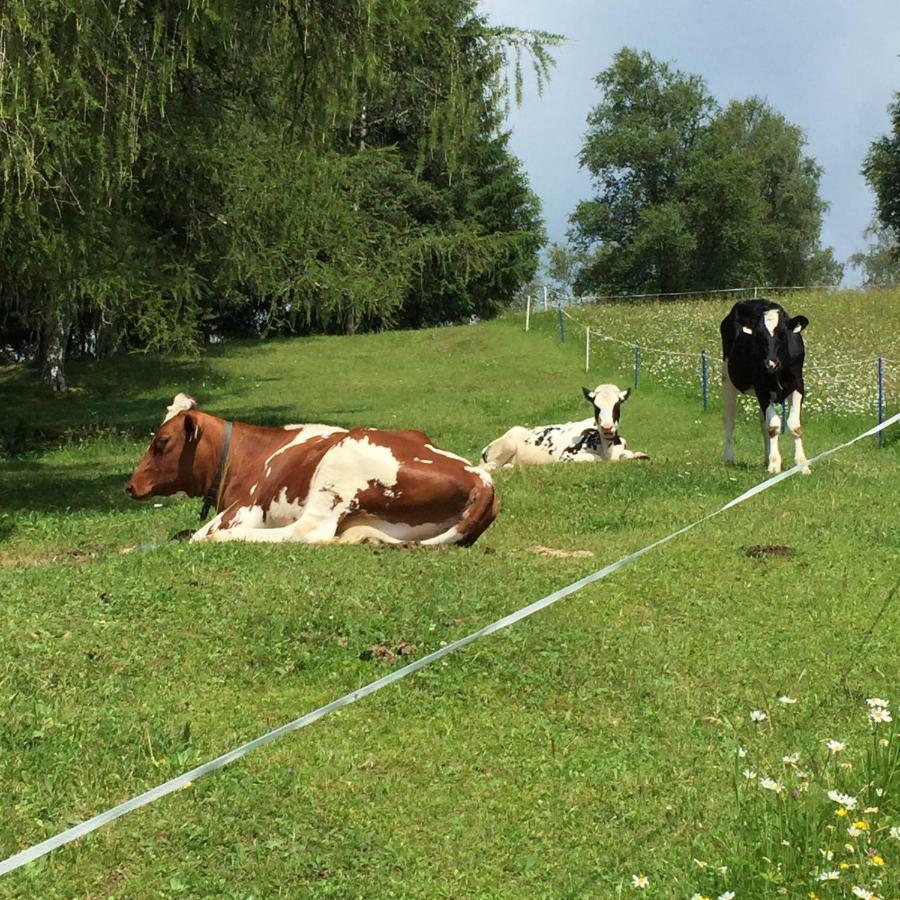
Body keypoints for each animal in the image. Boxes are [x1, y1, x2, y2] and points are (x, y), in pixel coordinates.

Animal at [125, 396, 500, 548]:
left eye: (161, 442)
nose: (129, 486)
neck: (249, 456)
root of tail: (483, 481)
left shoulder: (241, 510)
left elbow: (196, 534)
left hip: (340, 464)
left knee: (306, 531)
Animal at [478, 384, 648, 472]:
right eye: (596, 406)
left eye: (617, 405)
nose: (607, 427)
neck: (608, 450)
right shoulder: (567, 455)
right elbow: (596, 459)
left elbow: (633, 455)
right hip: (507, 445)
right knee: (489, 467)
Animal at [720, 298, 812, 474]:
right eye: (758, 336)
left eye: (782, 334)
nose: (770, 363)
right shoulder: (761, 388)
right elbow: (774, 425)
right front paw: (775, 464)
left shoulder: (798, 384)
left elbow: (794, 426)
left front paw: (802, 464)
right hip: (727, 378)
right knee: (729, 420)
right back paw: (728, 457)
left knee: (763, 422)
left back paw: (766, 457)